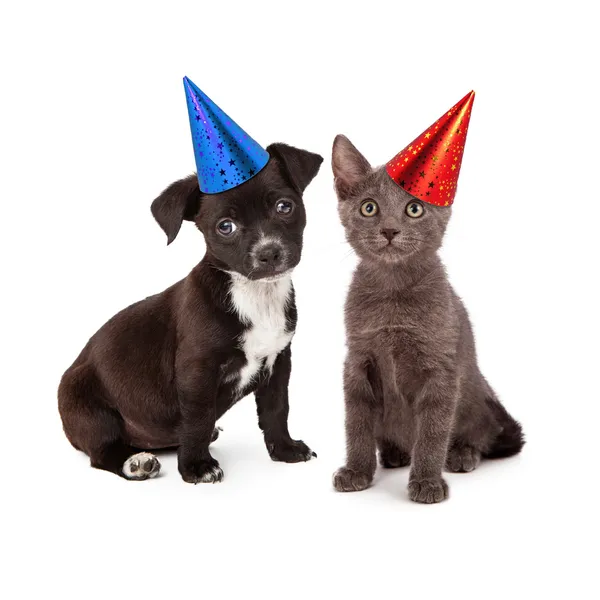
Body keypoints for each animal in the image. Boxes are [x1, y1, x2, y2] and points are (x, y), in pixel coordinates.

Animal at [58, 142, 324, 482]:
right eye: (226, 227)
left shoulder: (278, 362)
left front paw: (285, 449)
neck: (252, 294)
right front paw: (197, 466)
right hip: (88, 407)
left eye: (284, 206)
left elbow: (277, 409)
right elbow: (197, 418)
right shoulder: (197, 371)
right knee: (102, 451)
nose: (269, 252)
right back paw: (135, 463)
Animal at [330, 135, 524, 502]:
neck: (392, 294)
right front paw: (357, 471)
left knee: (482, 434)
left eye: (414, 209)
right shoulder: (358, 360)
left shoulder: (439, 368)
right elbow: (356, 422)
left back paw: (461, 453)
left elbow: (433, 430)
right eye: (368, 207)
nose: (389, 231)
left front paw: (427, 481)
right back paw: (393, 453)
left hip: (479, 399)